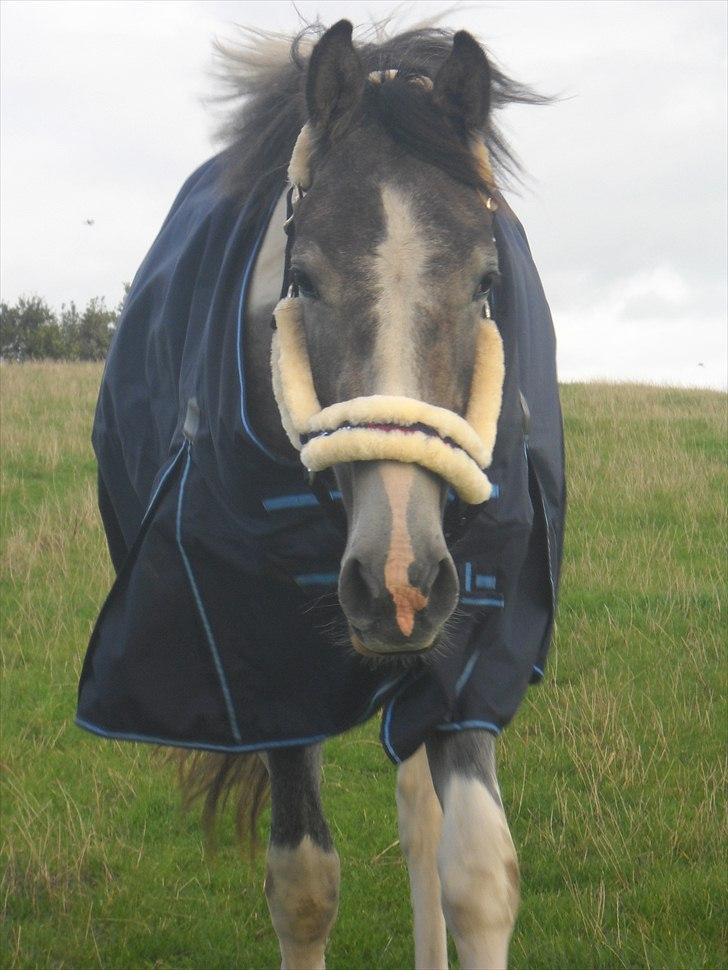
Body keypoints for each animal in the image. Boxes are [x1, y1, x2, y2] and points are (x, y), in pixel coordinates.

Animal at [77, 18, 564, 964]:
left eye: (486, 282)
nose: (399, 579)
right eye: (303, 279)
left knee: (419, 818)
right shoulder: (264, 676)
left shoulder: (470, 646)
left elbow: (479, 876)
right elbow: (304, 888)